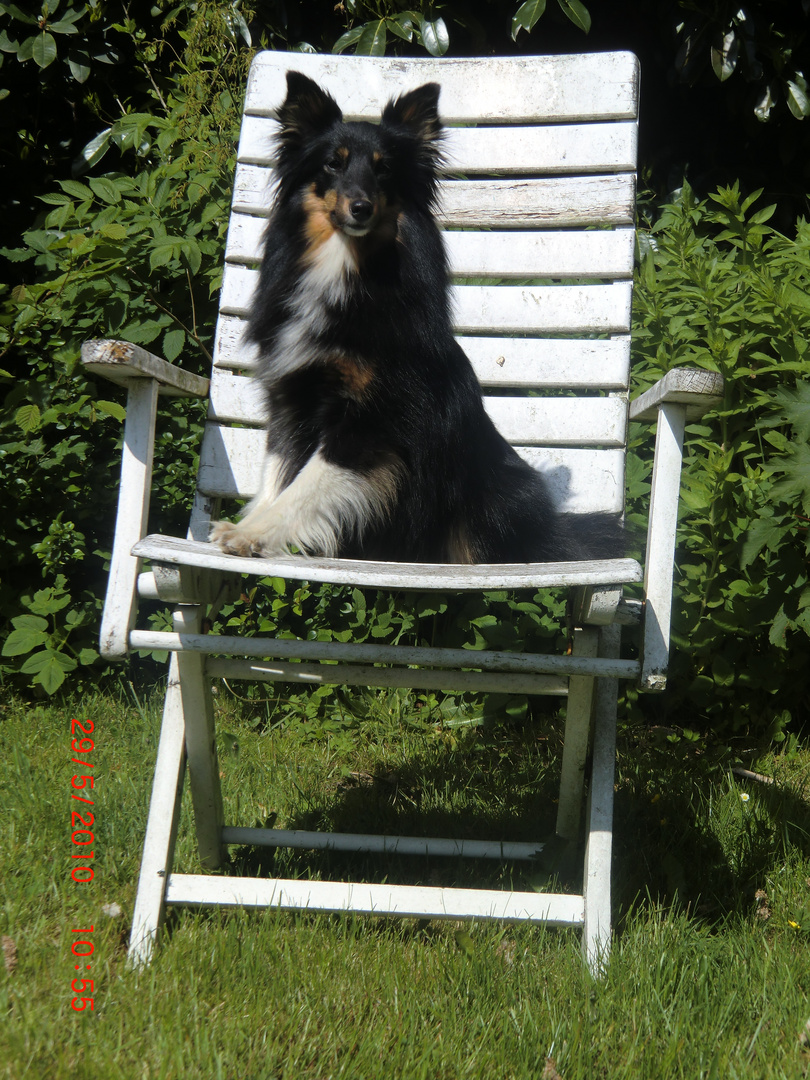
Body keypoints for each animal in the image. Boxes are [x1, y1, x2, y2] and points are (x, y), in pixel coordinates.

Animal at [212, 71, 626, 565]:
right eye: (333, 164)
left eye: (383, 168)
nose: (361, 208)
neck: (345, 267)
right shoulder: (290, 396)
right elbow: (277, 473)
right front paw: (248, 526)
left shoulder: (370, 418)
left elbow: (306, 483)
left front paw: (256, 534)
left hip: (493, 500)